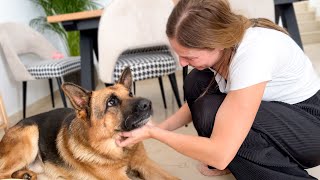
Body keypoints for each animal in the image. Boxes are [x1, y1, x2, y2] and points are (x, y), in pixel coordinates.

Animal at [0, 67, 179, 180]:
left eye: (130, 93)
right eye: (111, 102)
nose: (147, 104)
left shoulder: (146, 165)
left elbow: (173, 177)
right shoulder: (118, 177)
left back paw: (26, 174)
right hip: (30, 132)